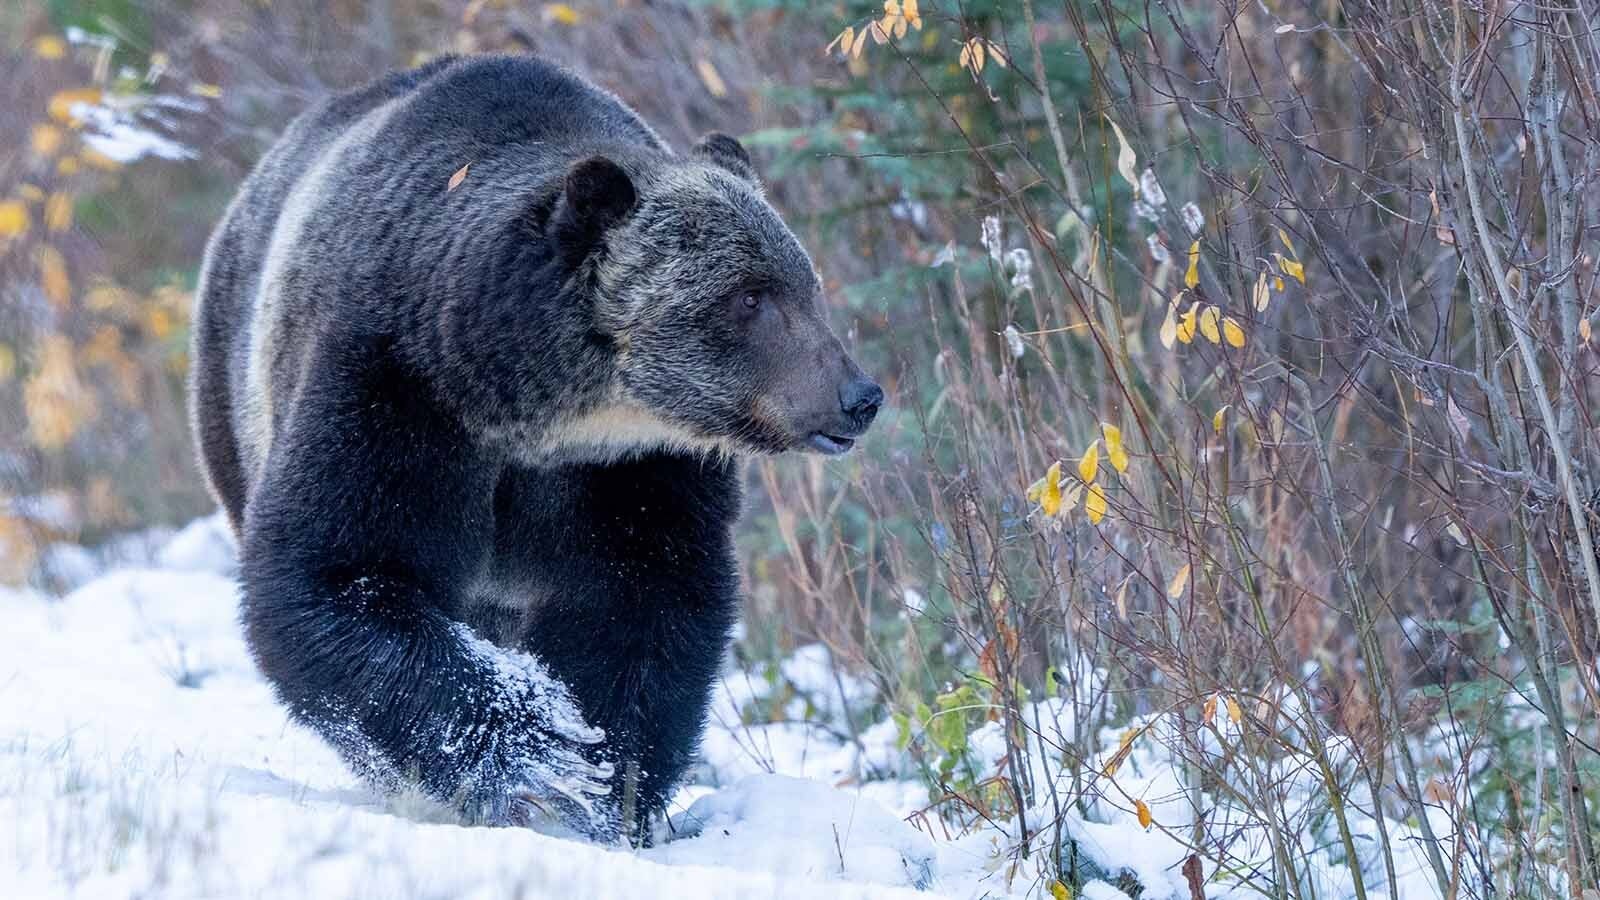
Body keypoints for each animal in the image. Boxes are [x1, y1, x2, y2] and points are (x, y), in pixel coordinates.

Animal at [188, 54, 881, 843]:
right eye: (749, 296)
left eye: (806, 284)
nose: (858, 396)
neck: (535, 409)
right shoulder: (393, 388)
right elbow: (343, 568)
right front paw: (537, 760)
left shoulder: (631, 470)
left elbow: (645, 603)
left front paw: (606, 777)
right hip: (232, 399)